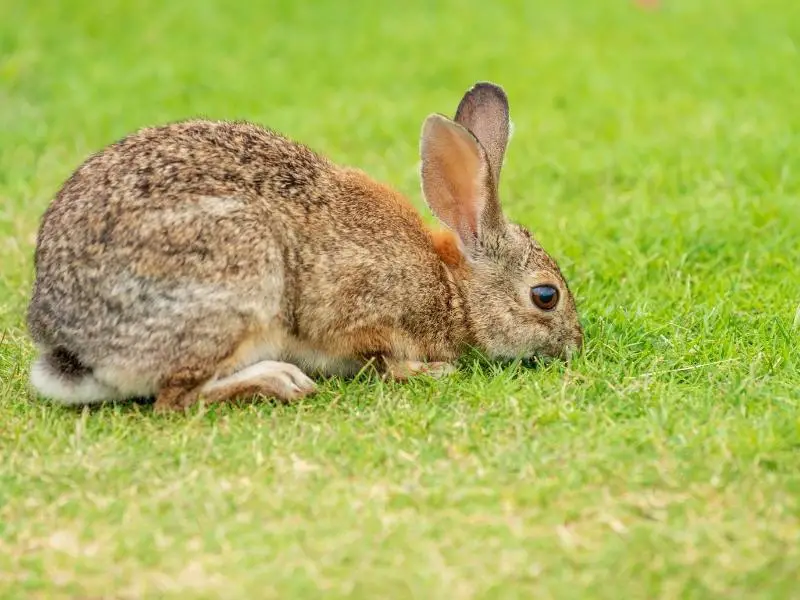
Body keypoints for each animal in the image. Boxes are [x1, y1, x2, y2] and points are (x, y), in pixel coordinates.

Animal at [28, 82, 584, 410]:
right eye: (546, 296)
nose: (575, 346)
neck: (453, 288)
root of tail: (71, 343)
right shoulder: (363, 308)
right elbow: (381, 356)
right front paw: (429, 370)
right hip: (239, 284)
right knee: (176, 396)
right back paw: (279, 380)